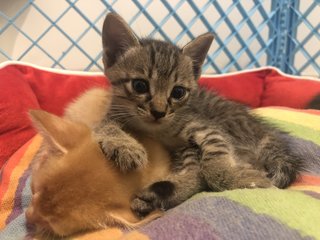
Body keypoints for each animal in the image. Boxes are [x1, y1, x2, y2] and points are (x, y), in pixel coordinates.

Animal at [97, 13, 302, 216]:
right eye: (140, 85)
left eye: (178, 92)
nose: (158, 112)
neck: (154, 130)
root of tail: (264, 130)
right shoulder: (113, 113)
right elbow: (104, 125)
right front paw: (125, 146)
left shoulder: (207, 128)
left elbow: (214, 159)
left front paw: (233, 177)